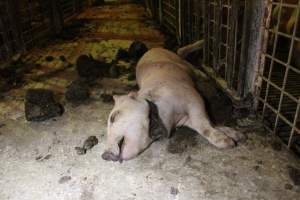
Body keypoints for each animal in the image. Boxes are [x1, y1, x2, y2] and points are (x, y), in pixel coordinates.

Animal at [102, 39, 245, 162]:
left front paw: (228, 143)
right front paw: (236, 135)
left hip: (181, 63)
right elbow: (205, 124)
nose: (104, 155)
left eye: (113, 117)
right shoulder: (185, 120)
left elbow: (204, 124)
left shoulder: (193, 97)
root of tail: (152, 49)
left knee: (185, 57)